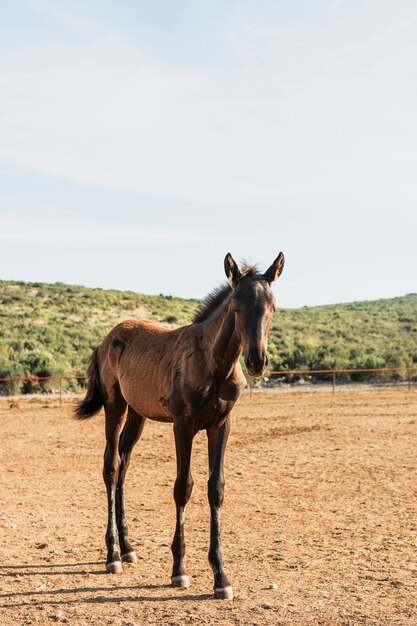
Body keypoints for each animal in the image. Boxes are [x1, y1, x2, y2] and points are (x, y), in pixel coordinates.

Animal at [74, 251, 282, 596]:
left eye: (272, 307)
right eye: (236, 307)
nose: (257, 361)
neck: (214, 364)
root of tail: (107, 339)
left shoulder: (221, 425)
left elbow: (216, 488)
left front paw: (221, 576)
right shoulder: (182, 425)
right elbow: (183, 487)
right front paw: (179, 569)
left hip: (138, 413)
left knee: (125, 463)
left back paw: (128, 547)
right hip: (115, 406)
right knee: (111, 466)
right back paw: (113, 554)